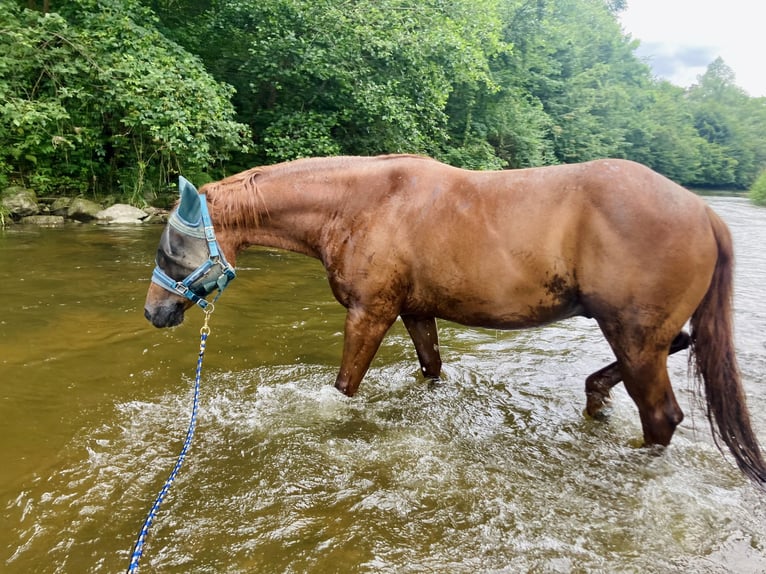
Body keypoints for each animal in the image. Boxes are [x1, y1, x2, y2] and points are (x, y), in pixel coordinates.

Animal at [144, 154, 766, 486]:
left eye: (171, 246)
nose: (154, 312)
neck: (361, 204)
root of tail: (703, 210)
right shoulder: (416, 312)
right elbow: (431, 369)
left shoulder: (370, 314)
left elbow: (344, 388)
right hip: (638, 334)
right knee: (680, 344)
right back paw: (595, 395)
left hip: (633, 334)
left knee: (663, 416)